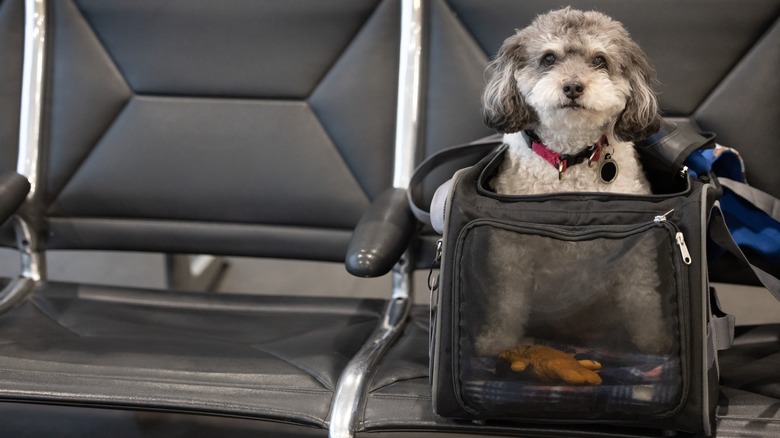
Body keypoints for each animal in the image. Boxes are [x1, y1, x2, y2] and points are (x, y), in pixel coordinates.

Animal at [472, 7, 672, 360]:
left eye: (599, 60)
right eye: (549, 58)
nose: (573, 87)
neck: (570, 157)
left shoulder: (636, 250)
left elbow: (642, 298)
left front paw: (654, 340)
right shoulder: (511, 252)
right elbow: (507, 302)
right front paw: (498, 341)